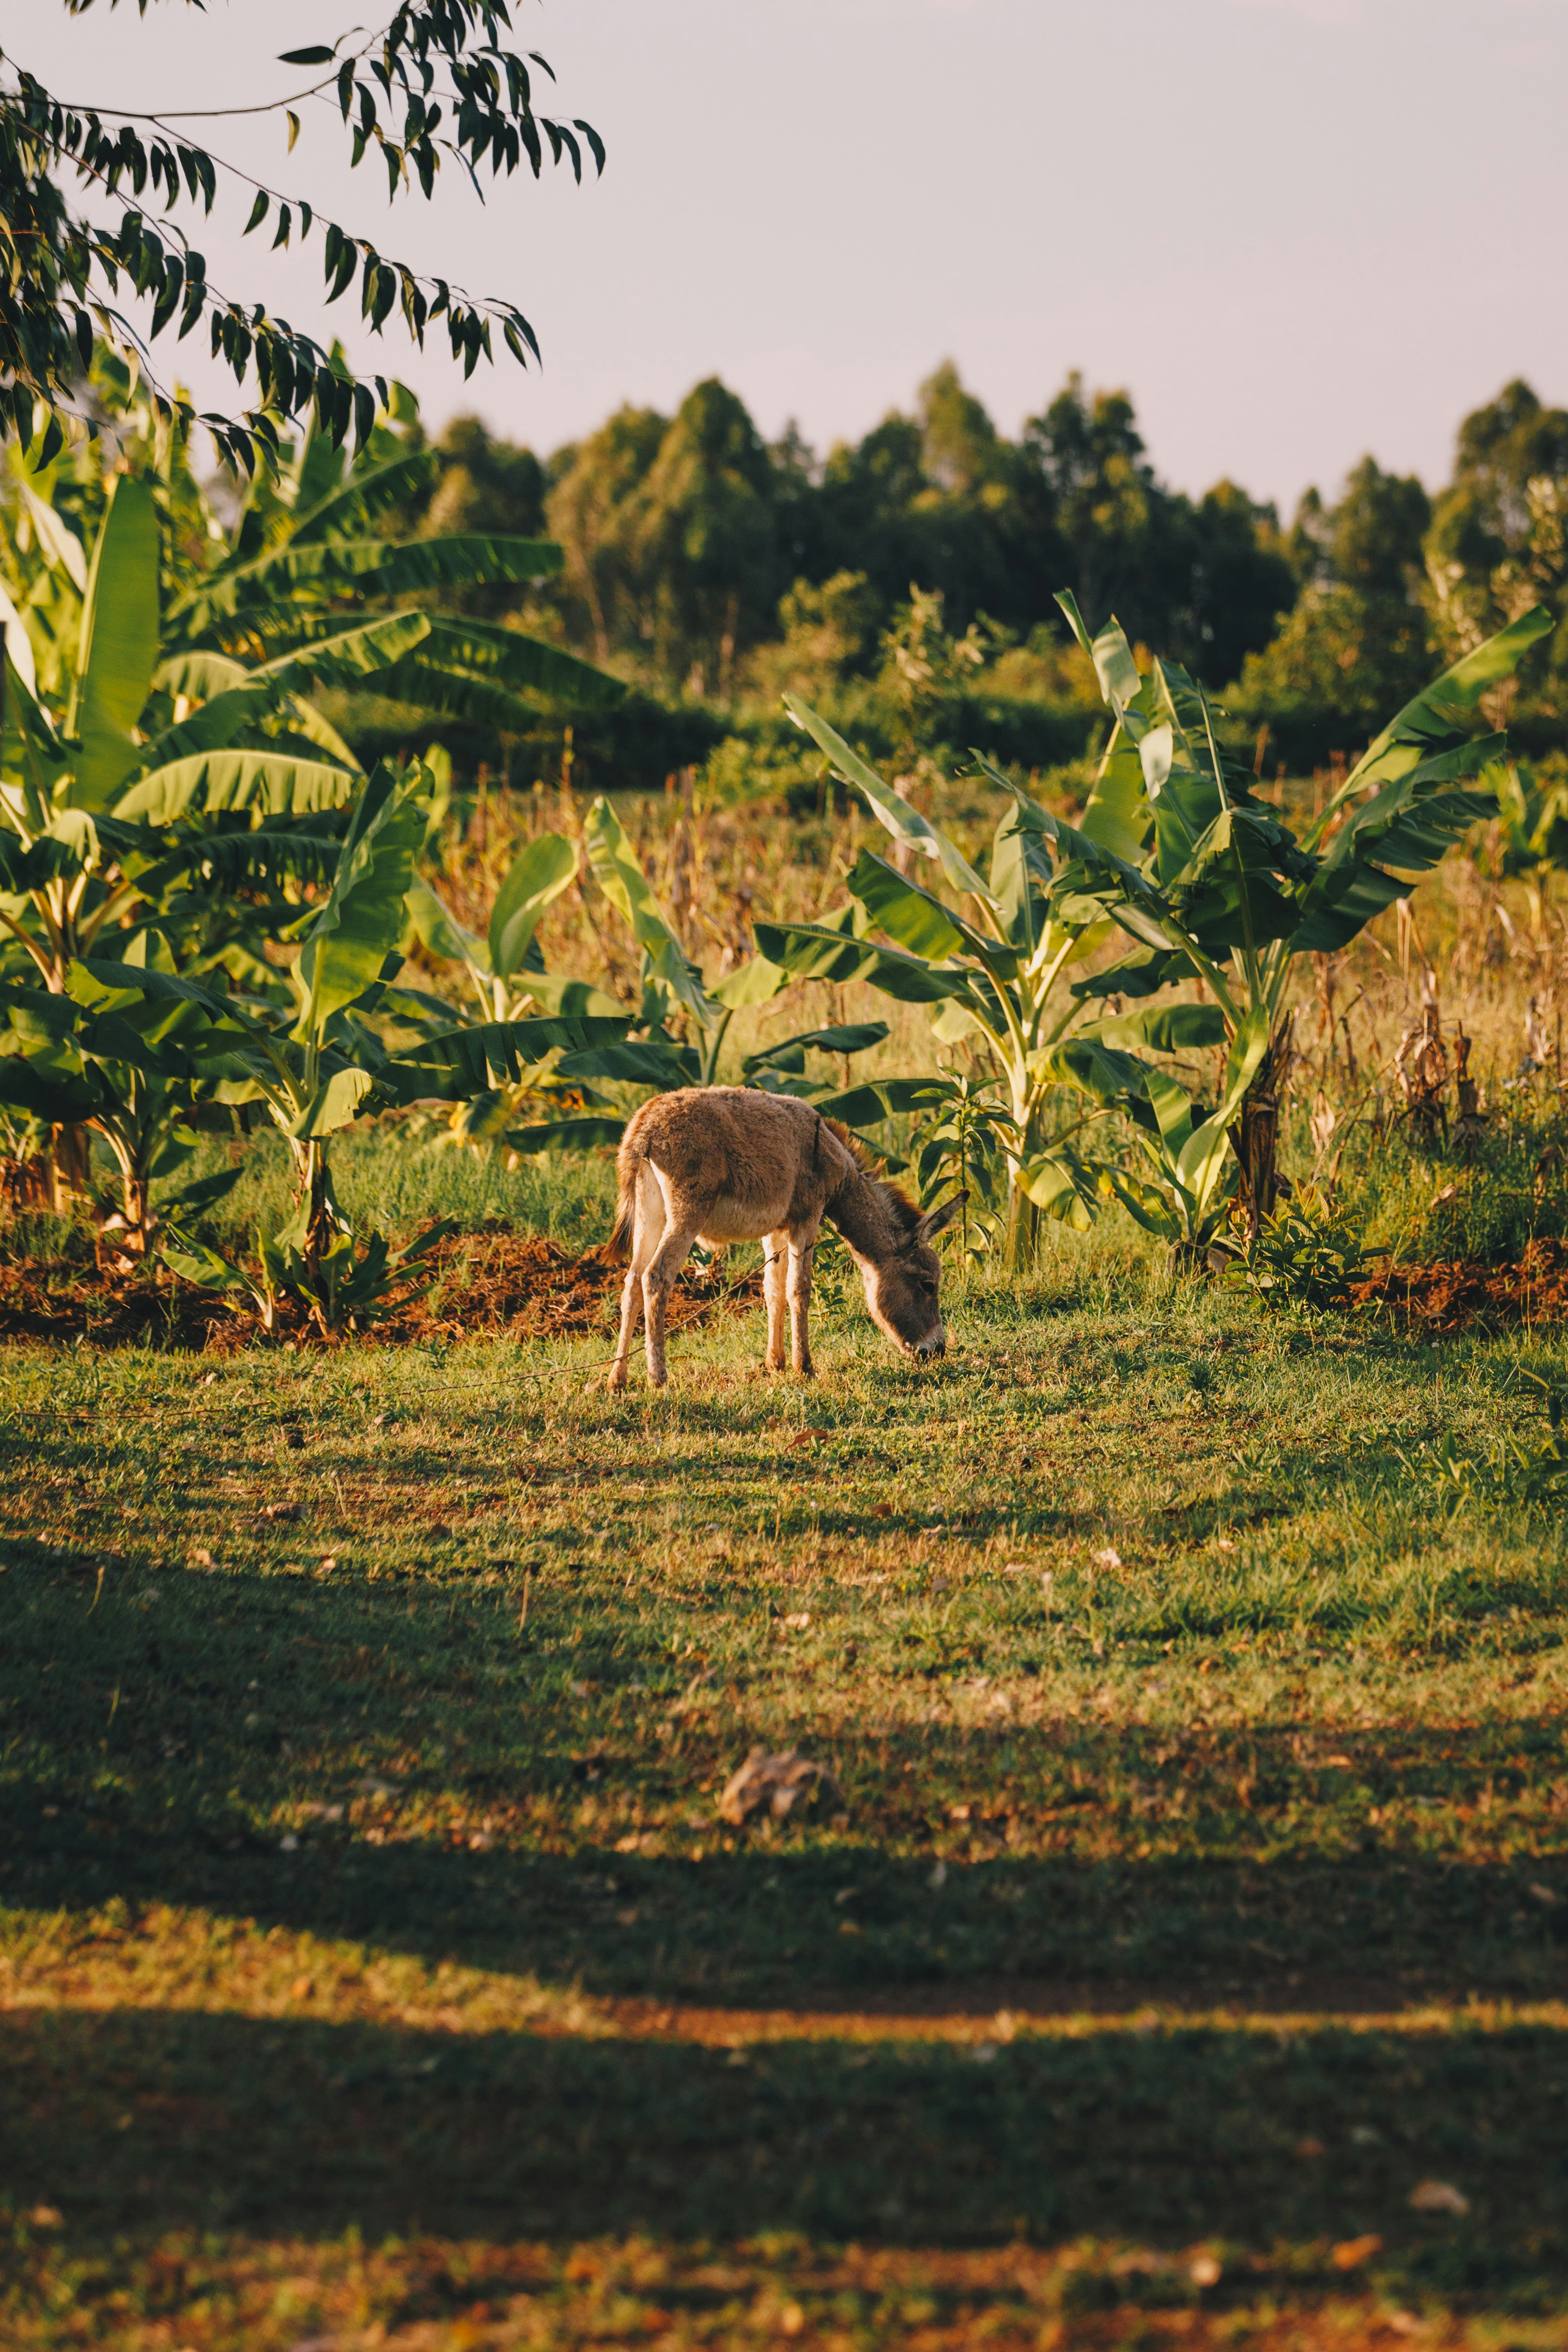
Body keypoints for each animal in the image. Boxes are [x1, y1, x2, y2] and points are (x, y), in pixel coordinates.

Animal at [604, 1086, 965, 1389]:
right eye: (928, 1285)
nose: (937, 1350)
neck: (839, 1169)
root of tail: (645, 1127)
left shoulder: (776, 1230)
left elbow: (773, 1290)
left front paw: (775, 1363)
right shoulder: (807, 1218)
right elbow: (799, 1289)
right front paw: (804, 1367)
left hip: (650, 1215)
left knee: (632, 1282)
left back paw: (616, 1379)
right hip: (687, 1213)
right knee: (656, 1276)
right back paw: (658, 1376)